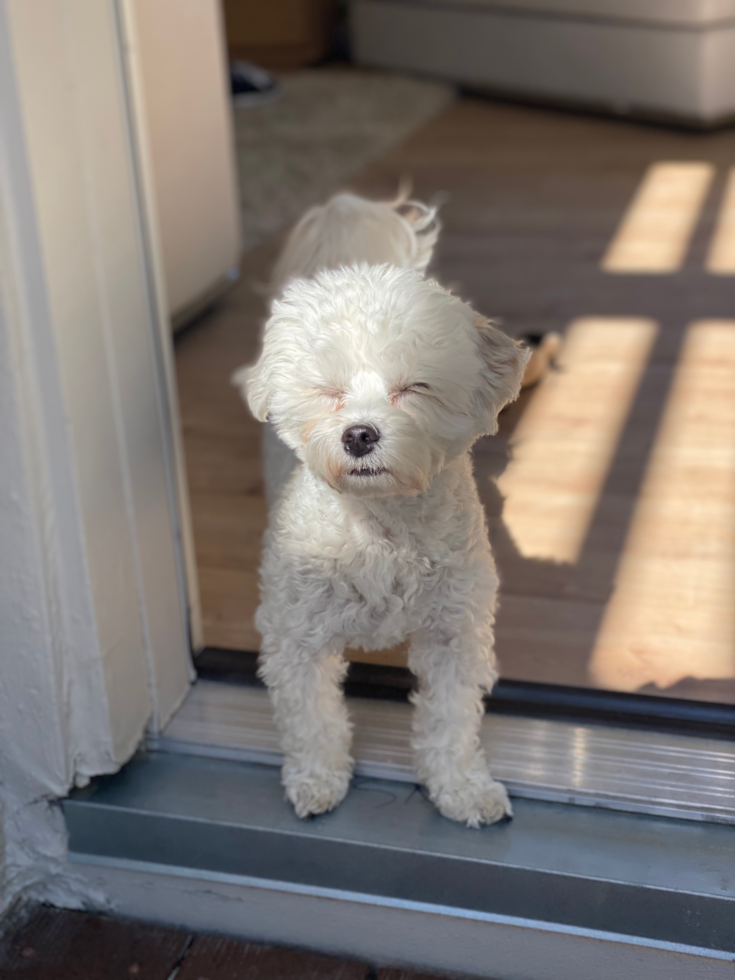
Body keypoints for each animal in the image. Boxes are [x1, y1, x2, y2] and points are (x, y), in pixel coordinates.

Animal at [236, 191, 528, 828]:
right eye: (328, 391)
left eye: (415, 388)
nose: (360, 435)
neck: (379, 529)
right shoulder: (296, 637)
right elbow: (312, 720)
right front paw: (318, 780)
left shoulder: (453, 634)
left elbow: (451, 721)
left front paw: (461, 787)